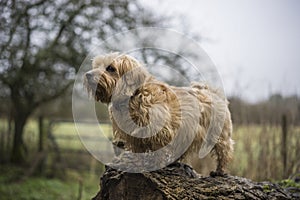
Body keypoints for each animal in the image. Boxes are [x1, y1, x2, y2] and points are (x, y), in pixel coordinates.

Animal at [84, 52, 234, 175]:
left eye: (110, 68)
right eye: (96, 65)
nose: (88, 74)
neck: (134, 96)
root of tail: (212, 92)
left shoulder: (161, 132)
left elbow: (158, 150)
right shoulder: (134, 136)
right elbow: (138, 149)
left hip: (219, 134)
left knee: (224, 151)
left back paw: (220, 171)